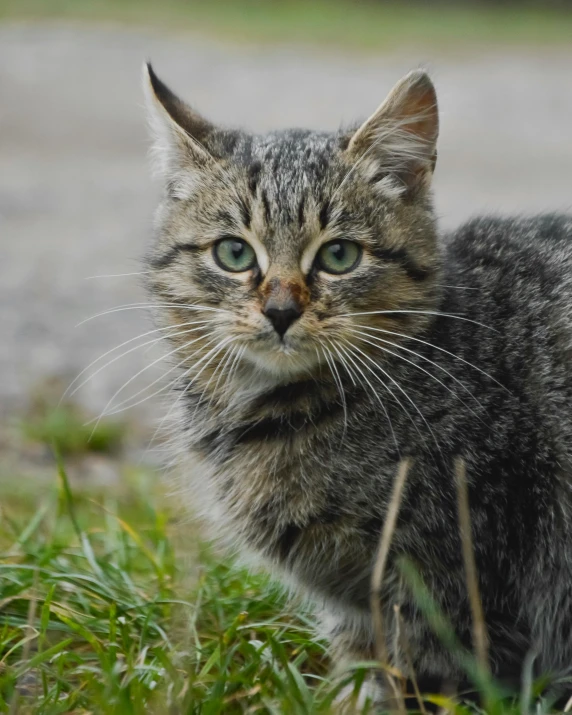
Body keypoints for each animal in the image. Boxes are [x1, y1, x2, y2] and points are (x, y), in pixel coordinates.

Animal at [143, 63, 572, 704]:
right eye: (234, 253)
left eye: (339, 256)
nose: (280, 311)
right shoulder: (356, 608)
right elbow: (359, 678)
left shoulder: (451, 583)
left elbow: (422, 685)